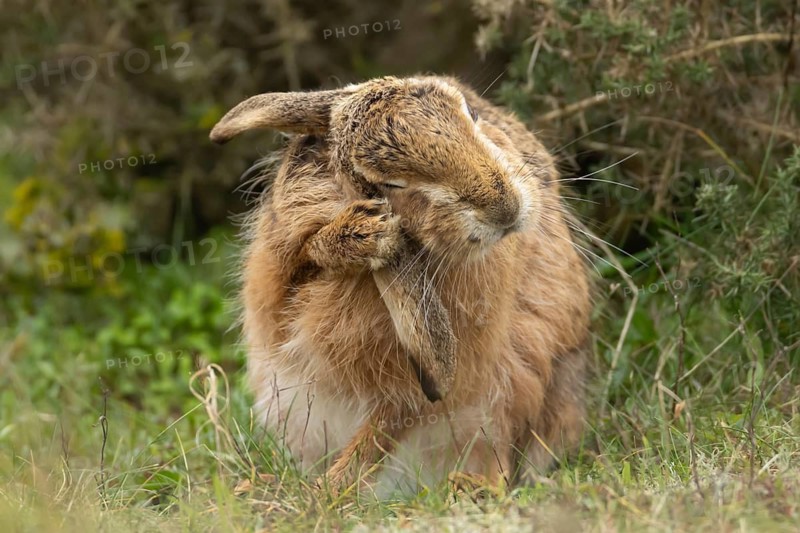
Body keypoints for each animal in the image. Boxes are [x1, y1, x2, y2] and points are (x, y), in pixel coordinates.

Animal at [210, 75, 591, 494]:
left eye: (473, 115)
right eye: (391, 183)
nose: (504, 209)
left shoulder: (429, 387)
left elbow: (389, 424)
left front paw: (328, 492)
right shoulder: (283, 256)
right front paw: (366, 236)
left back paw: (465, 488)